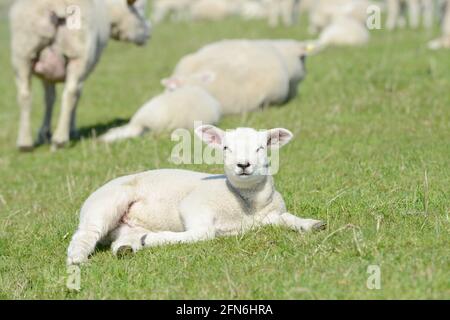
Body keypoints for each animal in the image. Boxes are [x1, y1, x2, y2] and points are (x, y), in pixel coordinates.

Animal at [9, 0, 151, 151]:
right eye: (140, 9)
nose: (149, 34)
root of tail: (55, 6)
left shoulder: (47, 74)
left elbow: (49, 99)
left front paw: (44, 133)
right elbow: (76, 96)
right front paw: (71, 130)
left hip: (22, 52)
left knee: (24, 95)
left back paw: (25, 142)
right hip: (79, 54)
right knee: (70, 94)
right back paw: (60, 139)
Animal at [67, 125, 326, 264]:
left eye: (260, 147)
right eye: (225, 148)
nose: (243, 165)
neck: (246, 205)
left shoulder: (272, 215)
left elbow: (288, 218)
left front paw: (312, 224)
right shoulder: (193, 206)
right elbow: (203, 233)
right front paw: (156, 240)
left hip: (126, 226)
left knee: (120, 240)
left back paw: (127, 248)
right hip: (104, 204)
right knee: (86, 234)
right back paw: (78, 258)